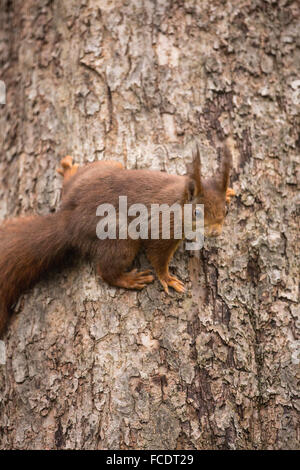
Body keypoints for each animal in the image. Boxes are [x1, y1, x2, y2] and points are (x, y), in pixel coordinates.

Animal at [0, 141, 234, 336]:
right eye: (197, 213)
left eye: (226, 210)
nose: (216, 232)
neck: (180, 200)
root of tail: (68, 221)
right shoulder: (161, 227)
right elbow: (157, 256)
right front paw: (167, 278)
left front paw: (229, 191)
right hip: (120, 236)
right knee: (106, 271)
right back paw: (129, 279)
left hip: (105, 168)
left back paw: (69, 171)